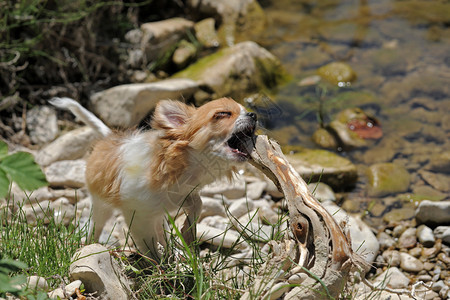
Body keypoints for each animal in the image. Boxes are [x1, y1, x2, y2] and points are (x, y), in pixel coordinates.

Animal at [49, 98, 256, 258]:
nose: (253, 114)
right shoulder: (138, 216)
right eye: (223, 114)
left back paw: (173, 252)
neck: (182, 169)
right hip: (102, 205)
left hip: (157, 216)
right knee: (96, 225)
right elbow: (148, 245)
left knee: (162, 232)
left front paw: (187, 231)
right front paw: (158, 266)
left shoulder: (183, 195)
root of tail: (109, 138)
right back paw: (91, 245)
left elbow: (198, 204)